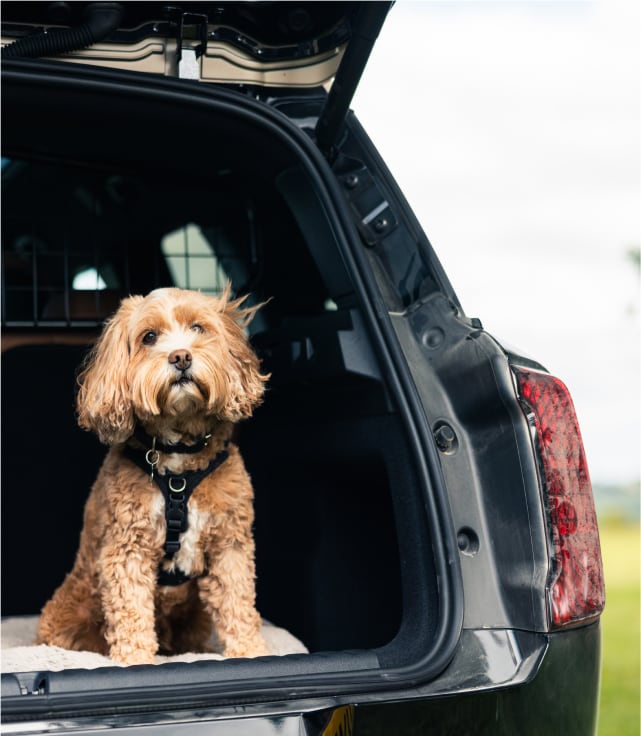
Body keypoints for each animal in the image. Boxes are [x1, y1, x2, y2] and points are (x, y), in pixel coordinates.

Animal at [35, 288, 270, 668]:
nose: (181, 356)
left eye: (198, 328)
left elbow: (237, 600)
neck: (180, 463)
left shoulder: (229, 544)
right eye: (149, 337)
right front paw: (135, 660)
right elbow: (130, 609)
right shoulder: (128, 547)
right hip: (72, 610)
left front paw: (250, 651)